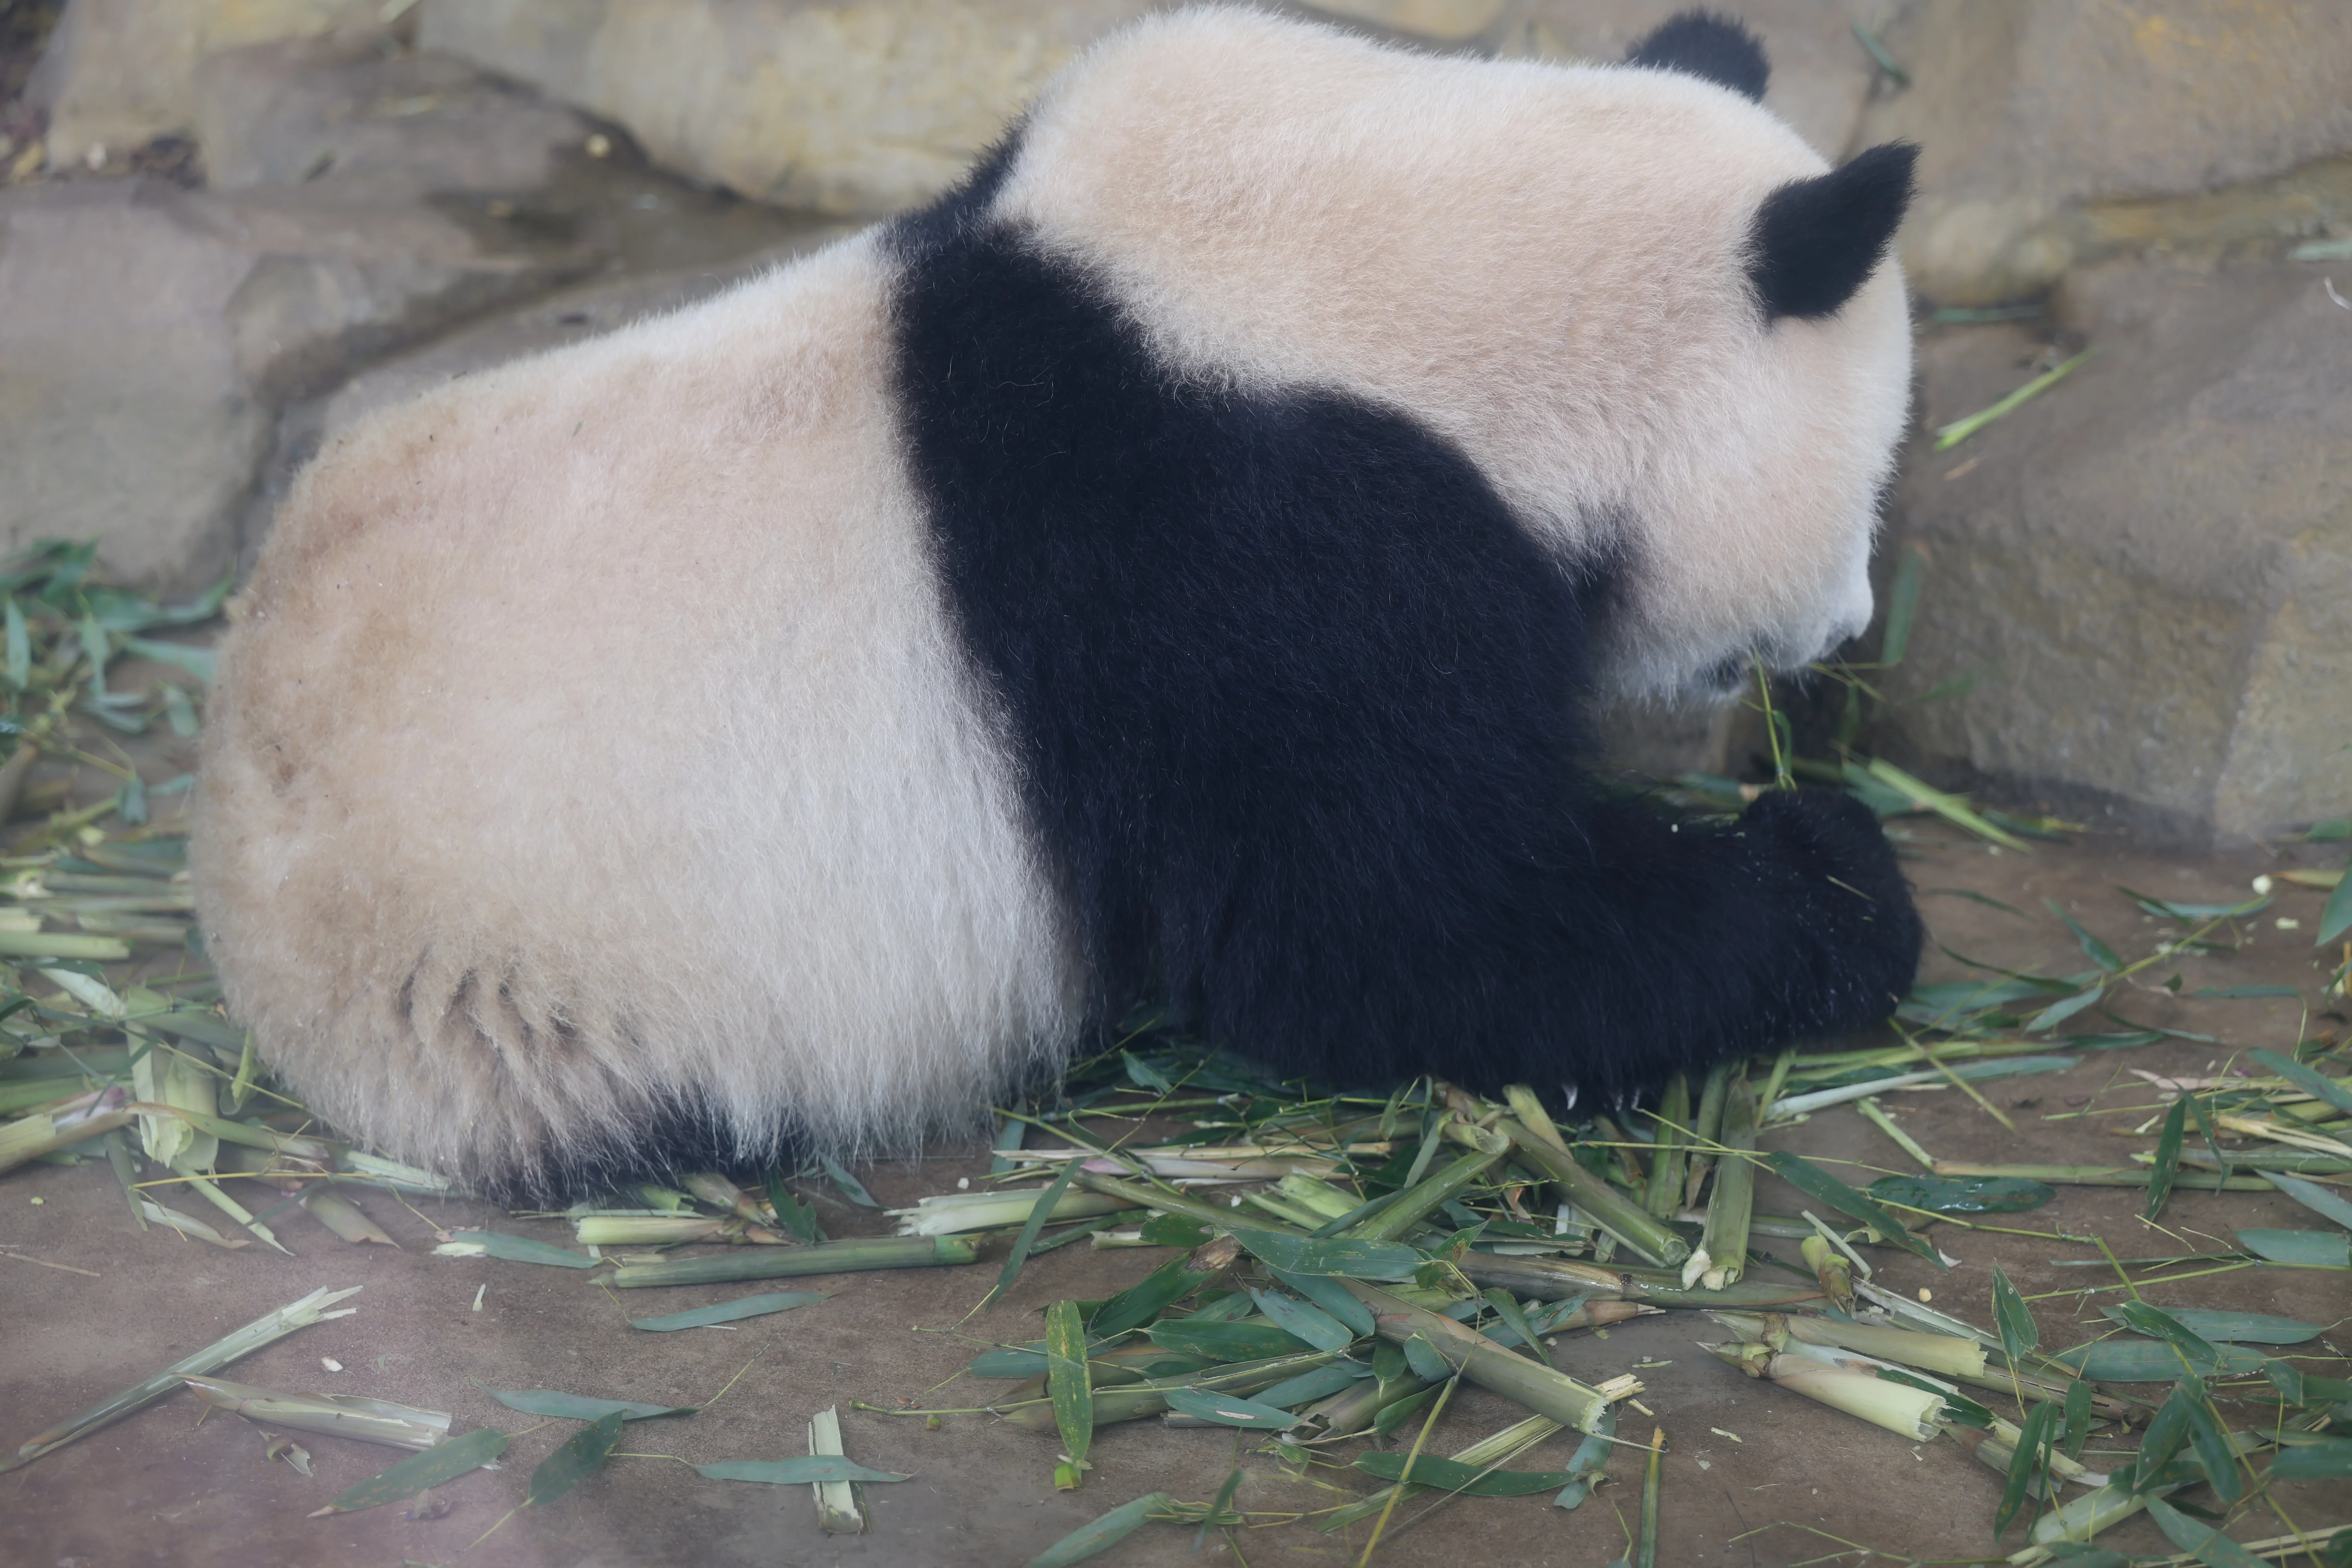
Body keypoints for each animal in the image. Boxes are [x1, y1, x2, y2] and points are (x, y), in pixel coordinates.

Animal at [188, 6, 1924, 1202]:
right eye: (1867, 483)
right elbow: (1394, 926)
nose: (1845, 629)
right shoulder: (1247, 553)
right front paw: (1835, 876)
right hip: (531, 977)